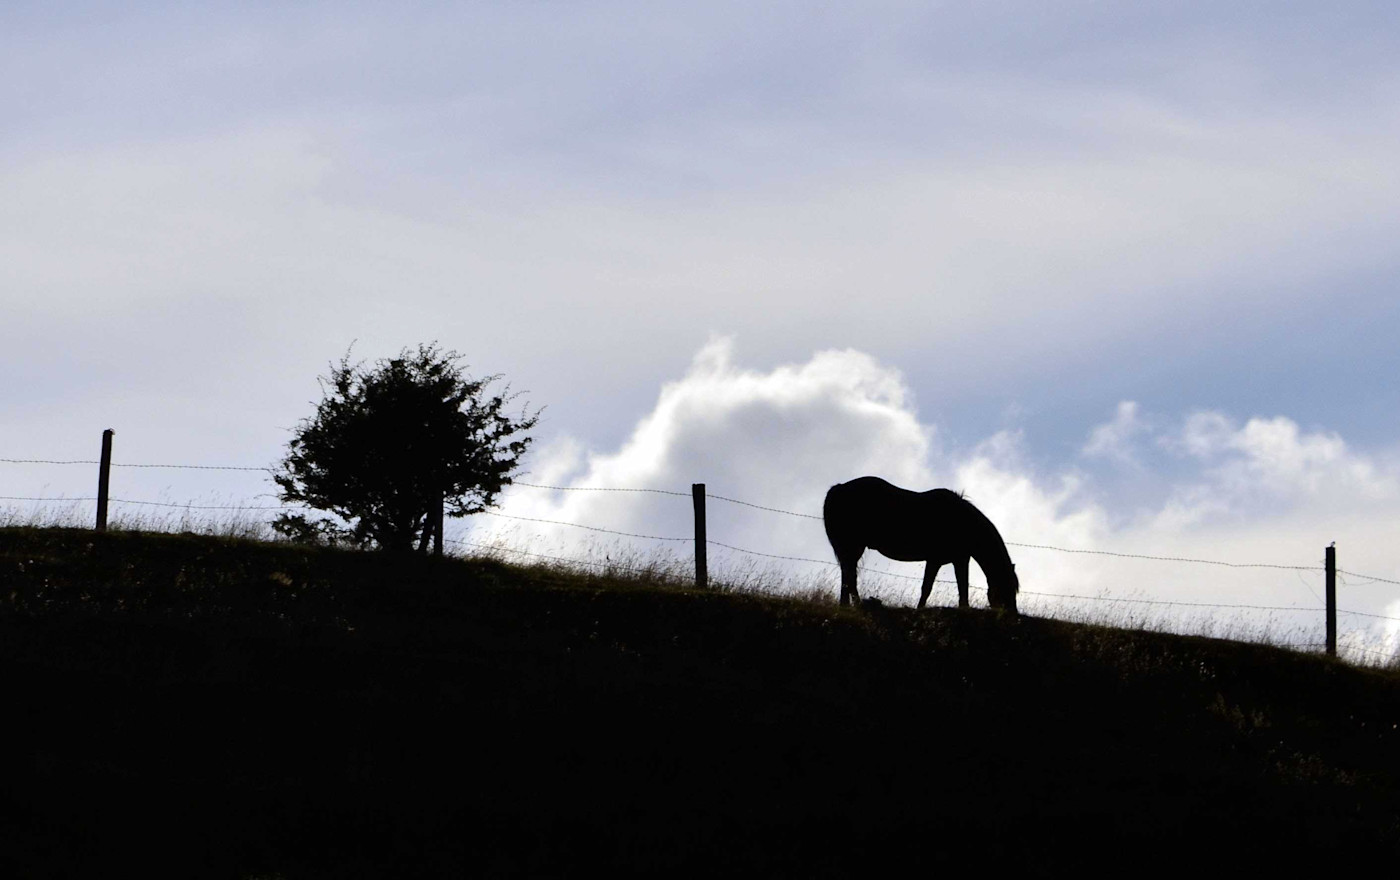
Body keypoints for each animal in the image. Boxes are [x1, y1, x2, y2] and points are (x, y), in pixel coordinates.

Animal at [823, 476, 1019, 615]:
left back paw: (847, 605)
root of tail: (838, 488)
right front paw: (919, 609)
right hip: (853, 546)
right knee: (849, 575)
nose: (1013, 614)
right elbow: (927, 587)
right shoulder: (935, 559)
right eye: (1008, 588)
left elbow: (962, 587)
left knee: (847, 575)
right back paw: (853, 605)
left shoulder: (959, 560)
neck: (961, 521)